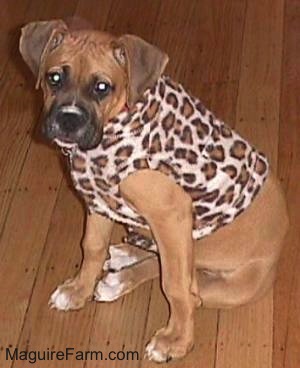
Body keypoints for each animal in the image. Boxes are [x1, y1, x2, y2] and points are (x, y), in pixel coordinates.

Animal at [19, 20, 288, 362]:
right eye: (54, 78)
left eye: (102, 87)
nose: (68, 120)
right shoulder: (98, 200)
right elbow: (92, 247)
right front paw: (78, 290)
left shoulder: (171, 216)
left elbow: (175, 286)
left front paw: (176, 340)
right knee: (160, 261)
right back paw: (123, 263)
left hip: (229, 284)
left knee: (187, 283)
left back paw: (124, 277)